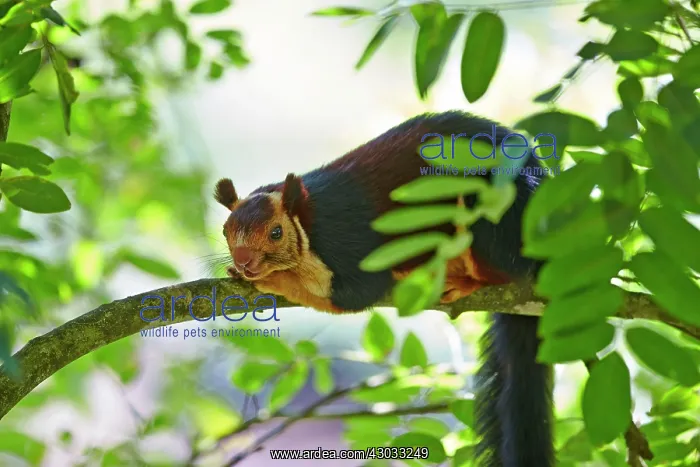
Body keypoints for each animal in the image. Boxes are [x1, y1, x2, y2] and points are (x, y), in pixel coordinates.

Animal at [215, 111, 554, 467]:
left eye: (276, 233)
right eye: (226, 230)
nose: (244, 261)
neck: (306, 221)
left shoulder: (349, 242)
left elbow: (354, 293)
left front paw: (273, 279)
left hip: (496, 214)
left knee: (504, 270)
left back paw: (463, 281)